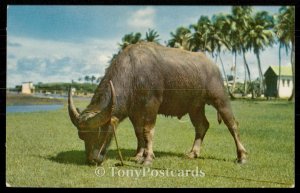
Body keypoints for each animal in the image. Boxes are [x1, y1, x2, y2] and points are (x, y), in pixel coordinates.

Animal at [69, 42, 247, 166]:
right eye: (82, 136)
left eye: (101, 132)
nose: (92, 160)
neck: (133, 73)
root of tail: (213, 66)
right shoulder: (134, 111)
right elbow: (138, 132)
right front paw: (138, 155)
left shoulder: (151, 105)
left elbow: (148, 131)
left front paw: (147, 158)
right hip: (195, 106)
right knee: (202, 126)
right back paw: (193, 153)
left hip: (220, 98)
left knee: (232, 124)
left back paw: (242, 157)